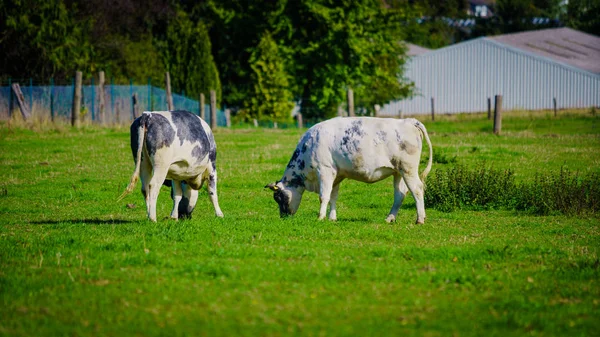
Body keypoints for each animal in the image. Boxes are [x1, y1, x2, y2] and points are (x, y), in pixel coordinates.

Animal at [266, 115, 432, 223]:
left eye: (278, 197)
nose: (283, 217)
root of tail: (409, 121)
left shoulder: (325, 171)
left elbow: (323, 196)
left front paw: (320, 217)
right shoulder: (336, 175)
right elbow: (333, 197)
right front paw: (332, 218)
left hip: (408, 169)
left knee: (417, 189)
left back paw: (420, 219)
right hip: (398, 172)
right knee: (400, 194)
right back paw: (390, 218)